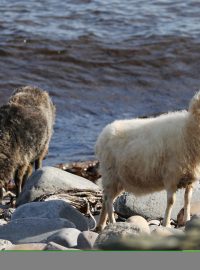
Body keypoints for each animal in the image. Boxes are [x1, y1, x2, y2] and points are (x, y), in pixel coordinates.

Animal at [95, 92, 200, 231]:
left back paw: (100, 225)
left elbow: (188, 200)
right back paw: (112, 223)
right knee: (108, 201)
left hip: (118, 180)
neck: (188, 129)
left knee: (105, 198)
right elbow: (171, 201)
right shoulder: (171, 176)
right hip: (111, 175)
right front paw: (166, 224)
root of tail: (103, 134)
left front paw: (187, 220)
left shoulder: (189, 179)